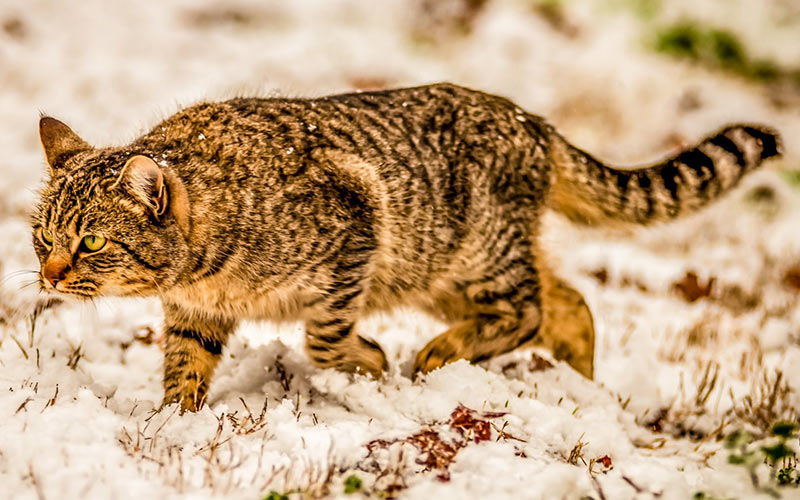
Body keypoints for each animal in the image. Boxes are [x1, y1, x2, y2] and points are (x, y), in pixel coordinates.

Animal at [32, 83, 780, 410]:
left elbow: (326, 338)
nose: (48, 275)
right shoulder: (195, 314)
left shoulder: (354, 236)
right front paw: (174, 426)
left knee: (530, 307)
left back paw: (439, 355)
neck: (204, 273)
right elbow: (183, 371)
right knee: (569, 300)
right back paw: (581, 385)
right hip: (451, 272)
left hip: (475, 256)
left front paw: (368, 361)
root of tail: (533, 122)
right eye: (42, 237)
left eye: (92, 240)